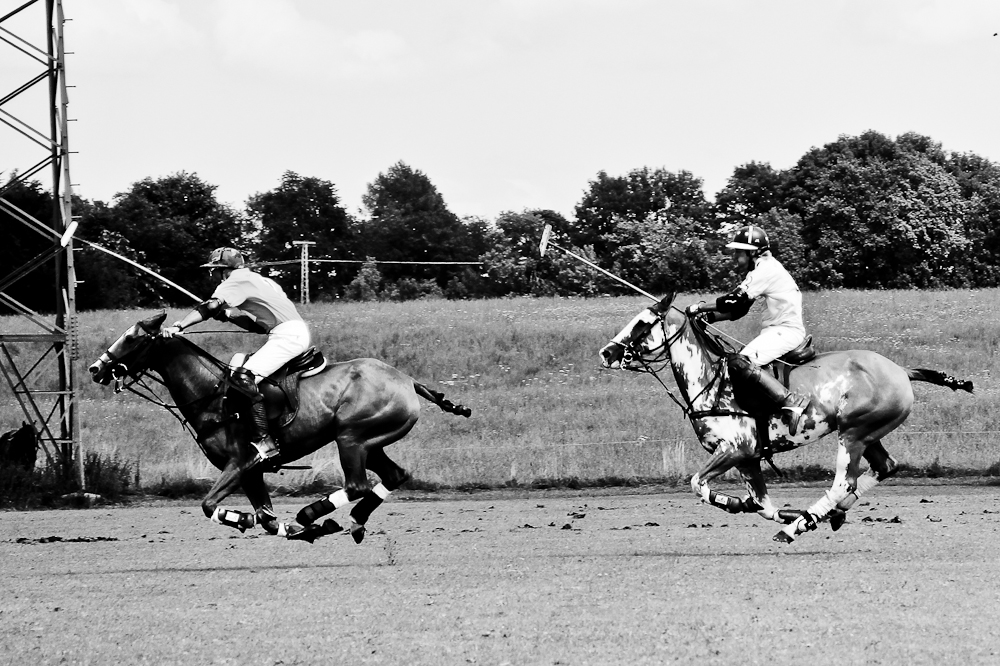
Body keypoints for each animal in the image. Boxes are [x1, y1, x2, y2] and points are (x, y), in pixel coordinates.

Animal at [90, 312, 472, 540]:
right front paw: (290, 528)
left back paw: (312, 513)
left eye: (132, 338)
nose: (96, 369)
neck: (211, 393)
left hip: (351, 437)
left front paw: (247, 520)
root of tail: (408, 380)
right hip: (372, 442)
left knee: (357, 484)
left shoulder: (241, 463)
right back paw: (349, 521)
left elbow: (209, 505)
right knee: (393, 476)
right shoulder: (251, 473)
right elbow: (268, 517)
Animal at [596, 294, 972, 540]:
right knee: (885, 466)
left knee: (843, 482)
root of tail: (902, 371)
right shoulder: (747, 459)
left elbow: (697, 483)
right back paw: (827, 515)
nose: (607, 352)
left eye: (642, 324)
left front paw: (746, 506)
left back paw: (798, 528)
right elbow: (762, 504)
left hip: (853, 433)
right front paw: (773, 509)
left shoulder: (735, 449)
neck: (710, 384)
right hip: (870, 432)